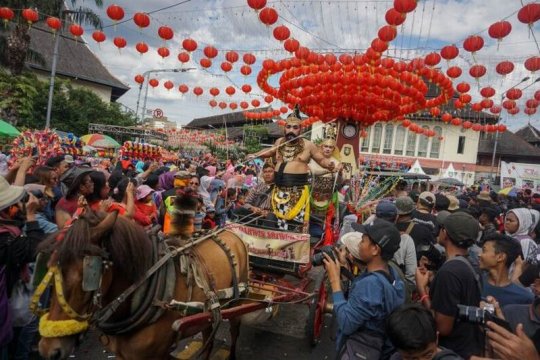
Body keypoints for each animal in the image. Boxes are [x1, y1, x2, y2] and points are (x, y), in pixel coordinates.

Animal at [37, 197, 249, 360]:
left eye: (88, 275)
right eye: (48, 268)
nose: (49, 350)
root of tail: (231, 232)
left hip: (238, 301)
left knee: (235, 329)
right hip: (209, 310)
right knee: (208, 335)